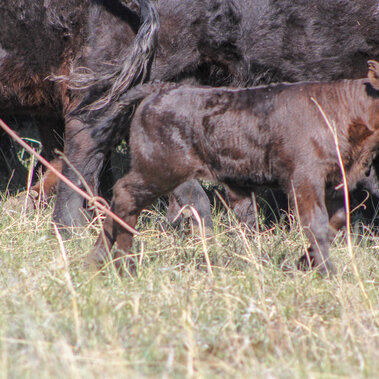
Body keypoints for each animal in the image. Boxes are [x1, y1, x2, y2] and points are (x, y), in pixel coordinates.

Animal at [90, 61, 379, 276]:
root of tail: (162, 90)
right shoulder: (305, 179)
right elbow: (316, 224)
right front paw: (328, 272)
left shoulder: (336, 183)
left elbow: (336, 221)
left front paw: (303, 262)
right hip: (159, 171)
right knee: (126, 196)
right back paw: (124, 266)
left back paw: (96, 260)